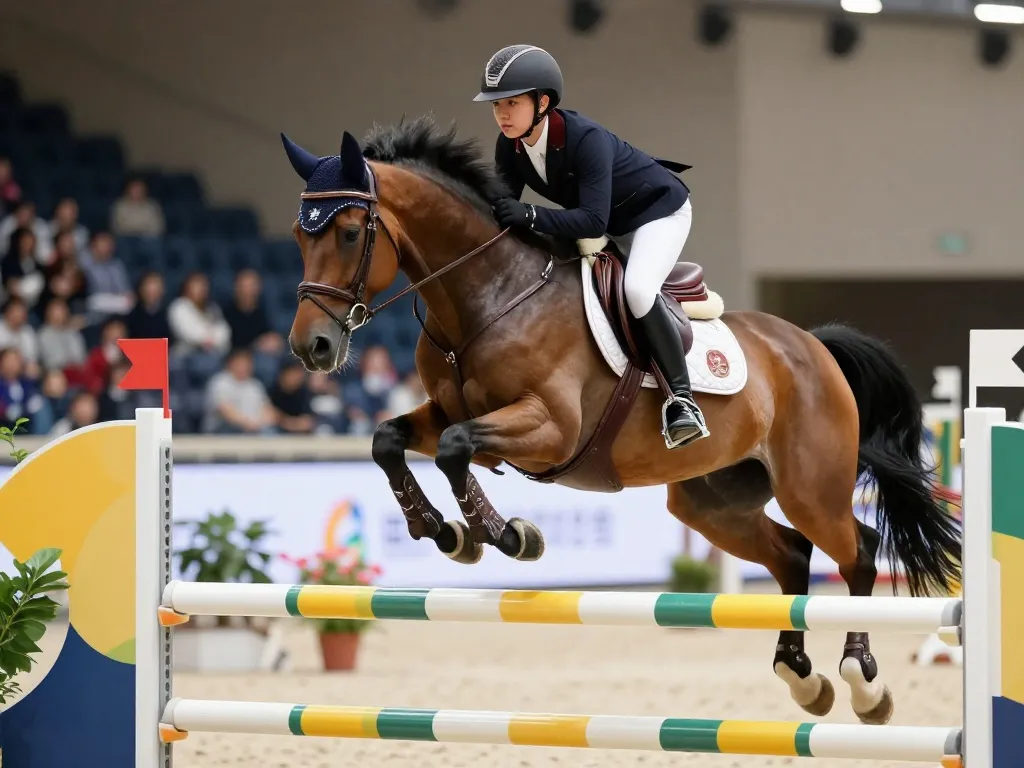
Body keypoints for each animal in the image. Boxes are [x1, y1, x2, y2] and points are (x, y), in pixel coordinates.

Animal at [280, 116, 960, 727]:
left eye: (348, 232)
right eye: (299, 235)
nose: (311, 348)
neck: (487, 295)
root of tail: (814, 347)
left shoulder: (548, 428)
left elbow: (453, 448)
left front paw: (508, 536)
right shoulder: (453, 413)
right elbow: (390, 440)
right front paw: (442, 531)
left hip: (809, 486)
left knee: (858, 552)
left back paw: (863, 683)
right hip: (712, 502)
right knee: (793, 556)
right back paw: (803, 680)